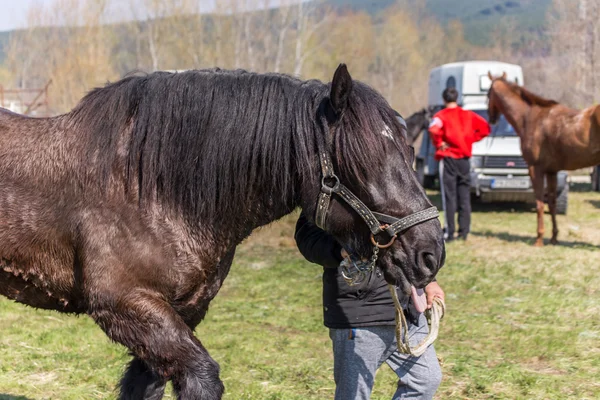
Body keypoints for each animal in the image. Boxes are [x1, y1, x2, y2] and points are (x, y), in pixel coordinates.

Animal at [1, 64, 446, 398]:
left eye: (411, 150)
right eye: (365, 159)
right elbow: (204, 378)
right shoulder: (125, 305)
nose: (430, 254)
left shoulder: (179, 315)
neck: (147, 185)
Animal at [488, 73, 600, 245]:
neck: (529, 117)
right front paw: (554, 237)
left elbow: (540, 203)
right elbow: (552, 203)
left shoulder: (535, 169)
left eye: (488, 94)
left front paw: (539, 239)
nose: (491, 118)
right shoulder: (551, 171)